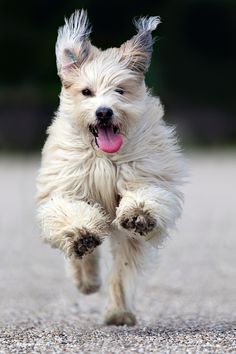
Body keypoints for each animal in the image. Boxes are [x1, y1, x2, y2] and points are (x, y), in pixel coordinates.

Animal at [36, 9, 185, 326]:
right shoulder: (68, 187)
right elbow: (71, 212)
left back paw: (118, 311)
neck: (104, 159)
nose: (104, 112)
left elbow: (145, 198)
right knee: (85, 256)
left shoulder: (145, 175)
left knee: (122, 268)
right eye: (86, 92)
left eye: (120, 90)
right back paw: (86, 274)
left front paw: (140, 213)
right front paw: (81, 234)